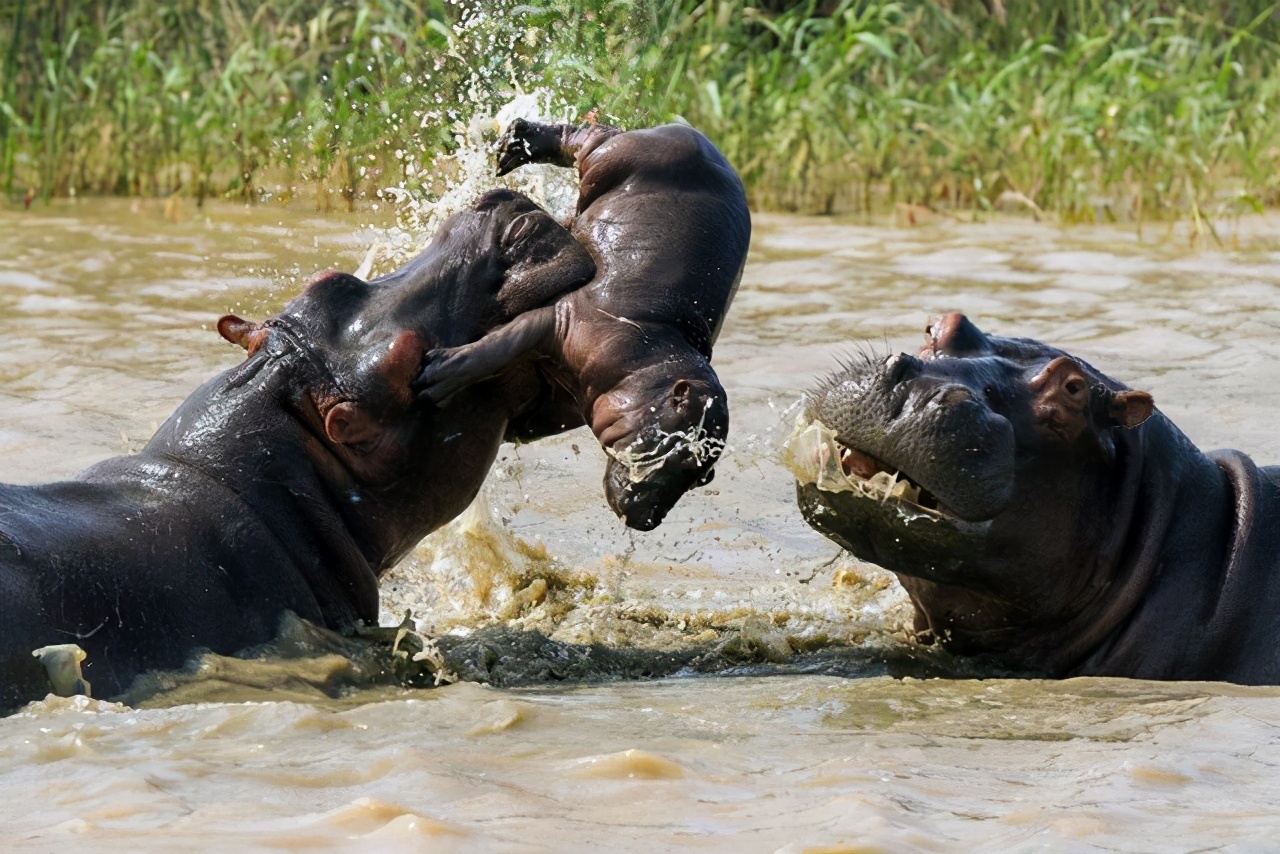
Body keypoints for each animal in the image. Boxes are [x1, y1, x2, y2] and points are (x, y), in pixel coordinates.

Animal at [417, 118, 747, 535]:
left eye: (703, 477)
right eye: (679, 449)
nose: (649, 520)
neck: (653, 362)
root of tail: (683, 127)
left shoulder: (569, 395)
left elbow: (537, 413)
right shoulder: (562, 319)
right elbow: (499, 346)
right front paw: (433, 378)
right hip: (606, 159)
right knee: (584, 137)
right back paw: (515, 146)